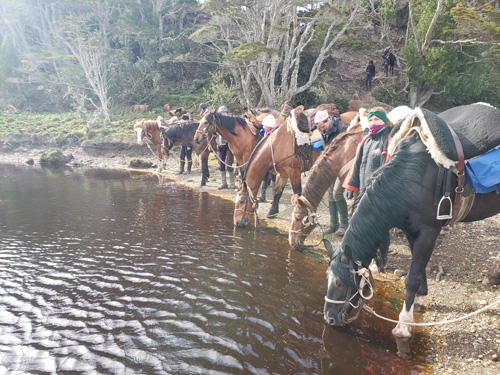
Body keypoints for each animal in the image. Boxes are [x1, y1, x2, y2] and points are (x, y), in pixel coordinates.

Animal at [324, 103, 500, 338]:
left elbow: (413, 276)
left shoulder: (429, 231)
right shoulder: (411, 230)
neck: (411, 179)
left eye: (340, 282)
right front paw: (419, 299)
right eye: (327, 277)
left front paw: (404, 323)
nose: (329, 318)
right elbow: (419, 270)